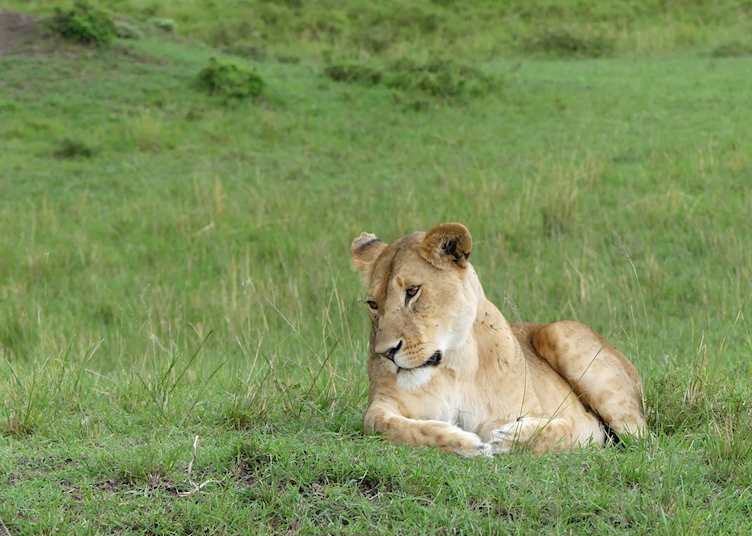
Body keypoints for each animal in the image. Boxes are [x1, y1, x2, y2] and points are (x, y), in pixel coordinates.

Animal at [351, 223, 647, 456]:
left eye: (413, 291)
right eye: (373, 304)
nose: (386, 352)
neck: (454, 365)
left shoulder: (581, 426)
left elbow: (557, 429)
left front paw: (508, 439)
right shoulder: (382, 404)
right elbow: (384, 424)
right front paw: (463, 442)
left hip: (561, 333)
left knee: (642, 440)